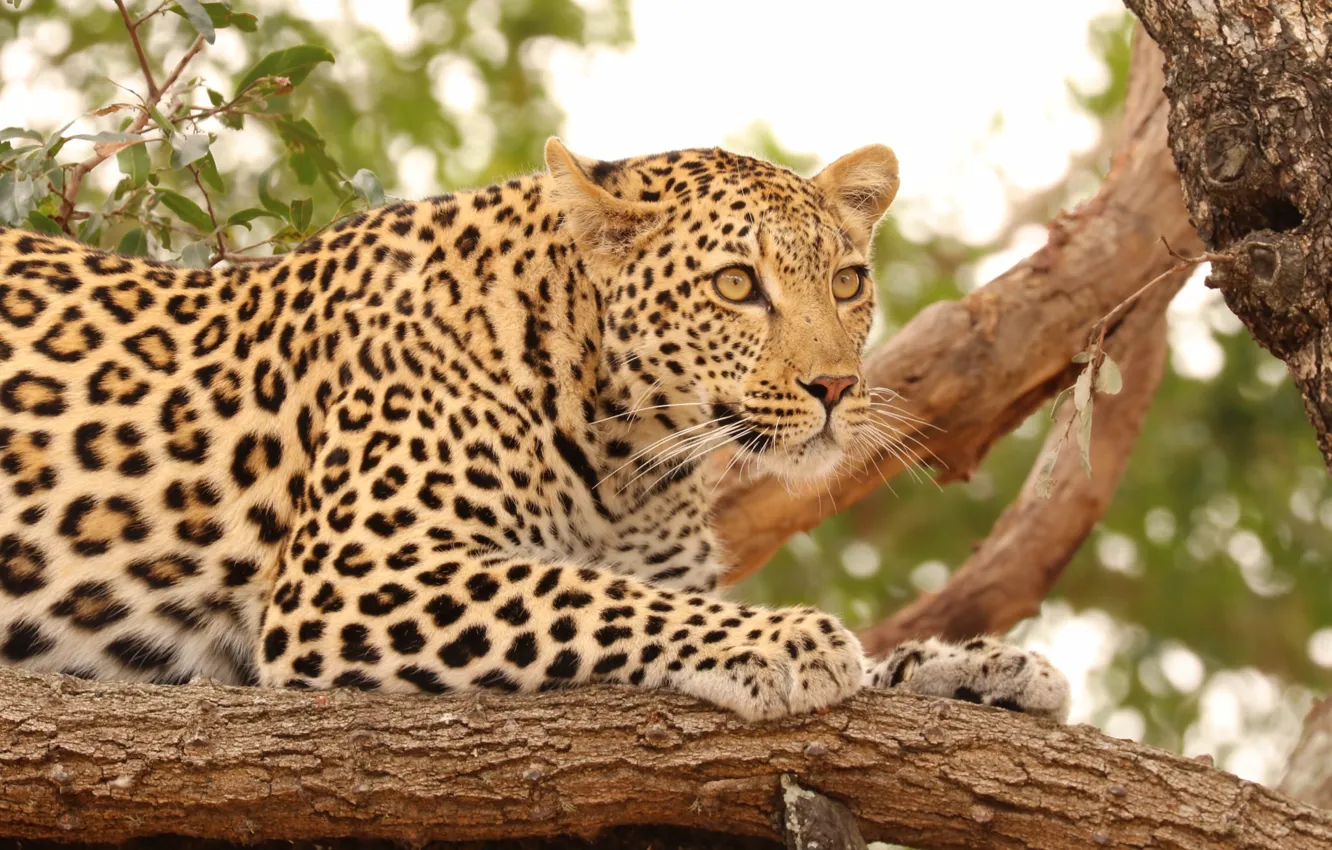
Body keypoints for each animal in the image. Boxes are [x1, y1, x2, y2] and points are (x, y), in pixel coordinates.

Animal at [0, 138, 1069, 722]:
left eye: (846, 283)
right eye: (737, 285)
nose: (839, 386)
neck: (637, 456)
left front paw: (977, 666)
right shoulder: (354, 573)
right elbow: (584, 593)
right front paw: (787, 639)